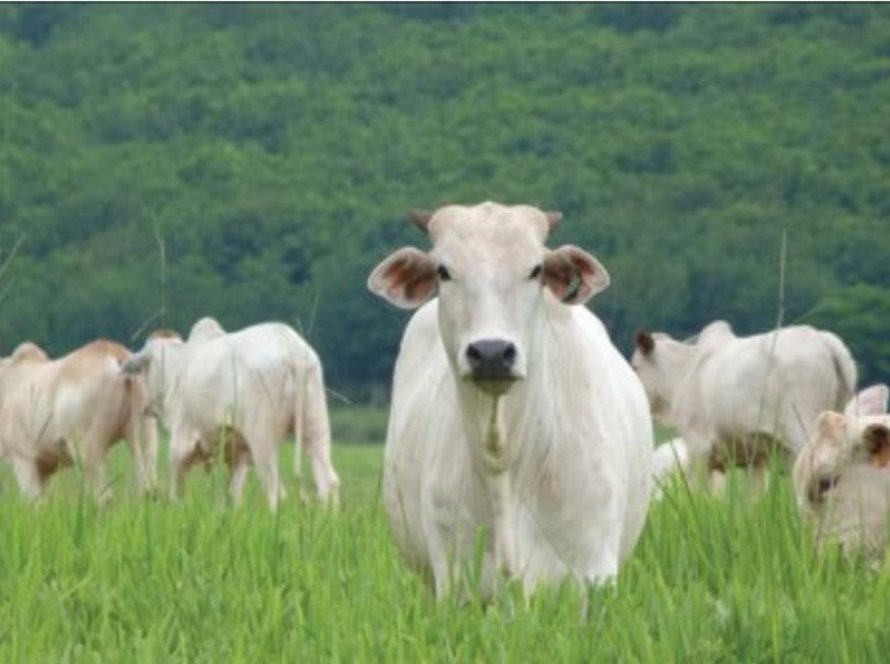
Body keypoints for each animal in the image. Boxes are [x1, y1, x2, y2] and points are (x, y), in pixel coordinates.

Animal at [0, 340, 157, 500]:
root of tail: (114, 350)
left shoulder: (24, 460)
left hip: (88, 449)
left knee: (103, 496)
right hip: (145, 434)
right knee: (149, 488)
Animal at [126, 316, 342, 508]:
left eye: (143, 368)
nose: (147, 407)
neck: (179, 367)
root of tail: (292, 348)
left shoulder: (181, 443)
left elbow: (176, 493)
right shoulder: (239, 454)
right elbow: (233, 495)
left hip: (262, 437)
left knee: (273, 488)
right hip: (315, 423)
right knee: (328, 482)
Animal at [368, 201, 652, 596]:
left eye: (536, 270)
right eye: (443, 271)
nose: (491, 352)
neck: (503, 458)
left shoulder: (594, 575)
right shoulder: (452, 580)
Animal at [628, 322, 856, 488]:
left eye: (635, 367)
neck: (684, 373)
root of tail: (824, 340)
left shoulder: (699, 448)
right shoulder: (755, 460)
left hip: (802, 431)